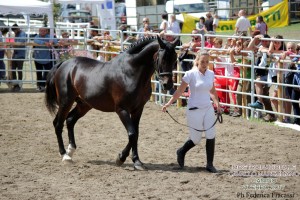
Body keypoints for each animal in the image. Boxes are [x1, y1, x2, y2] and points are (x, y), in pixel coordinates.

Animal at [44, 36, 178, 170]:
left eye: (175, 59)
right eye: (162, 58)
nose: (168, 84)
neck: (131, 72)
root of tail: (63, 64)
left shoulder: (138, 109)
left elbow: (136, 134)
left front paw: (136, 161)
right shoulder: (122, 110)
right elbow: (132, 134)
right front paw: (121, 158)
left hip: (84, 105)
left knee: (70, 120)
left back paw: (71, 150)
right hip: (66, 102)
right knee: (58, 124)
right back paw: (64, 155)